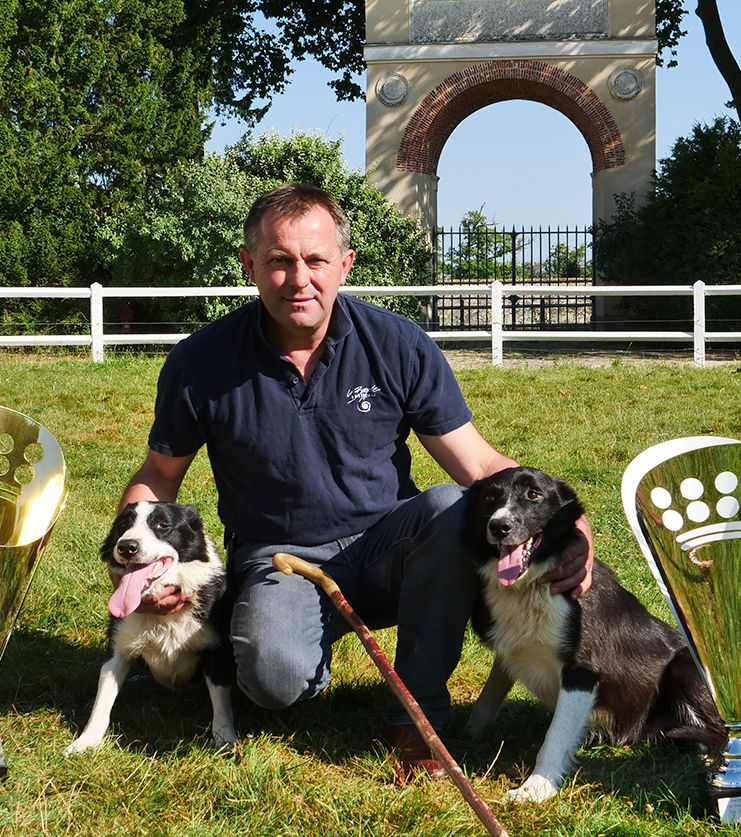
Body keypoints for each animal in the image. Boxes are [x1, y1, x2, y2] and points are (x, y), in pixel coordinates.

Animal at [64, 501, 237, 755]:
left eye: (162, 525)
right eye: (123, 524)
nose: (127, 547)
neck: (162, 618)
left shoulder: (216, 650)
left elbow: (222, 701)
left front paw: (226, 739)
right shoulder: (118, 649)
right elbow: (102, 699)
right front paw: (87, 740)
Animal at [466, 466, 725, 803]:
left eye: (534, 495)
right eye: (490, 497)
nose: (499, 526)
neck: (533, 584)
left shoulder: (582, 672)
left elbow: (555, 738)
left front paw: (535, 789)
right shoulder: (511, 649)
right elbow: (487, 698)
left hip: (685, 665)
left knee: (719, 732)